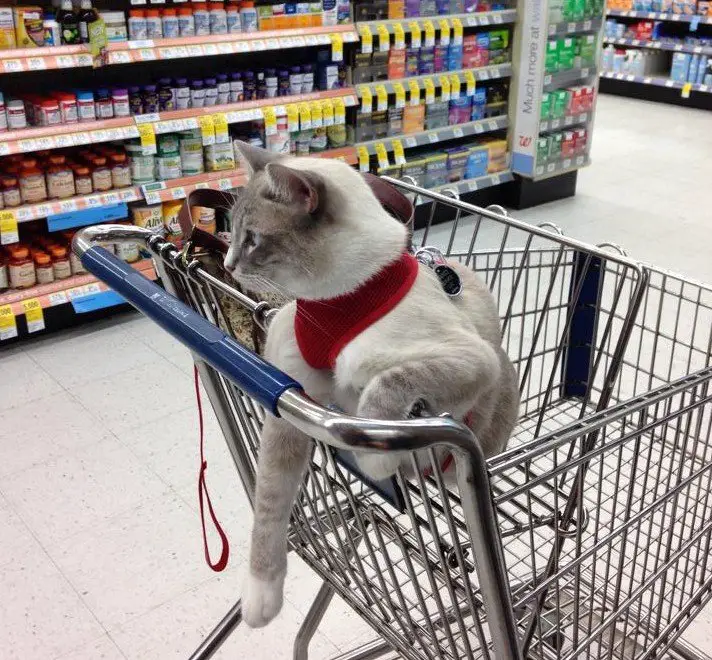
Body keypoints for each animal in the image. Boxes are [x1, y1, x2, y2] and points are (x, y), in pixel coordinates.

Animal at [225, 142, 520, 628]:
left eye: (251, 238)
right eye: (231, 233)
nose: (229, 264)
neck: (339, 298)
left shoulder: (469, 358)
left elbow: (386, 383)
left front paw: (374, 459)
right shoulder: (288, 401)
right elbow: (268, 505)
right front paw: (259, 597)